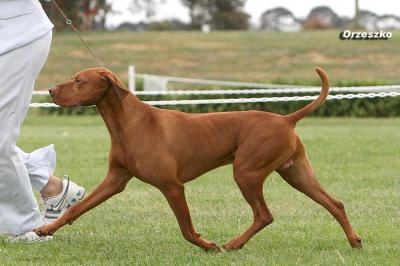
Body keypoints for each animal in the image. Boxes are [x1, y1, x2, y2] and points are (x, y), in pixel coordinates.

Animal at [36, 67, 362, 250]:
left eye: (79, 81)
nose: (50, 90)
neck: (129, 123)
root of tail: (286, 119)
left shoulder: (172, 186)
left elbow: (186, 229)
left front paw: (207, 246)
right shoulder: (115, 180)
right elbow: (78, 210)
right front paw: (46, 229)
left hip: (246, 173)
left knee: (264, 215)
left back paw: (233, 244)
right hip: (296, 172)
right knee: (335, 203)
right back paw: (354, 240)